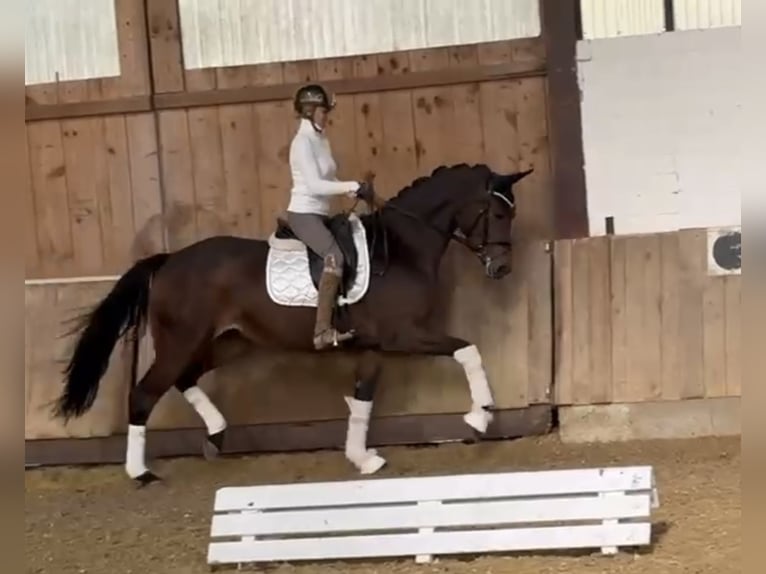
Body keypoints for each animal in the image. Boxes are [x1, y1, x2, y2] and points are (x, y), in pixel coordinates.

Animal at [52, 162, 533, 485]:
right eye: (498, 215)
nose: (502, 268)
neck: (401, 249)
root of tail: (169, 260)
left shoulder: (373, 346)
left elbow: (362, 399)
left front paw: (362, 459)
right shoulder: (404, 335)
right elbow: (468, 350)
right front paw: (480, 416)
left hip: (229, 342)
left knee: (184, 380)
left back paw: (217, 437)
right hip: (181, 341)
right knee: (144, 393)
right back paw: (140, 472)